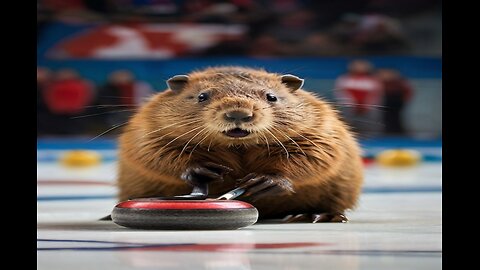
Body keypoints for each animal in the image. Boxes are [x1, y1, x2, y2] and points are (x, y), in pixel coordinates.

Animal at [117, 66, 364, 223]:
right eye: (202, 96)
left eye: (272, 97)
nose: (238, 114)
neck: (239, 146)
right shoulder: (148, 125)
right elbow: (152, 152)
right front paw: (204, 170)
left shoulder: (320, 126)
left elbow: (318, 155)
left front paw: (264, 181)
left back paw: (316, 215)